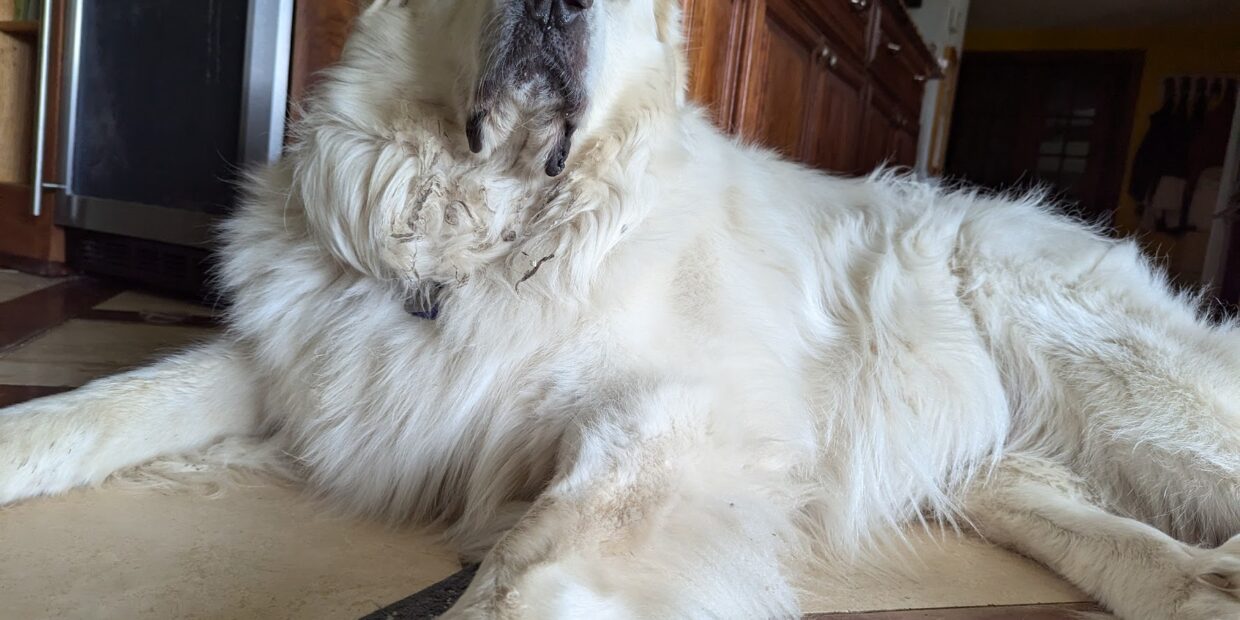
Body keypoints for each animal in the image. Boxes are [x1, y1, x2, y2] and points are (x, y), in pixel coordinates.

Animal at [2, 1, 1240, 620]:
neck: (486, 237)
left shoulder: (680, 425)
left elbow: (521, 577)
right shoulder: (305, 361)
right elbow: (106, 400)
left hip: (1113, 378)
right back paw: (1200, 584)